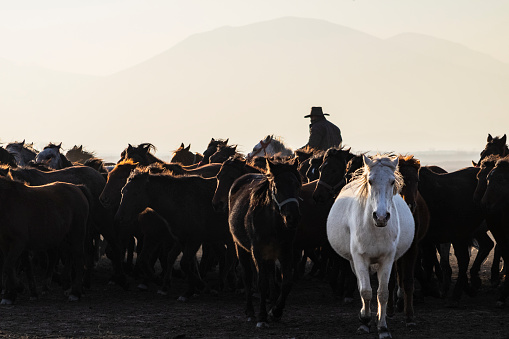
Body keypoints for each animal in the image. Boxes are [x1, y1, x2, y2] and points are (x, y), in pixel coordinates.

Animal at [227, 159, 302, 330]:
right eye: (277, 186)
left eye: (297, 184)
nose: (292, 217)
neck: (272, 223)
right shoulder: (257, 251)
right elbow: (261, 283)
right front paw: (262, 317)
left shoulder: (286, 251)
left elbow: (286, 282)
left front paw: (276, 311)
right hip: (241, 248)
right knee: (247, 277)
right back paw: (250, 312)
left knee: (271, 277)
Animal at [326, 155, 412, 339]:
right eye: (370, 181)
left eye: (392, 181)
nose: (381, 217)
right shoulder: (360, 259)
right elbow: (365, 291)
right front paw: (365, 321)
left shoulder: (387, 259)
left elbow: (383, 293)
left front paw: (383, 327)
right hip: (354, 262)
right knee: (361, 286)